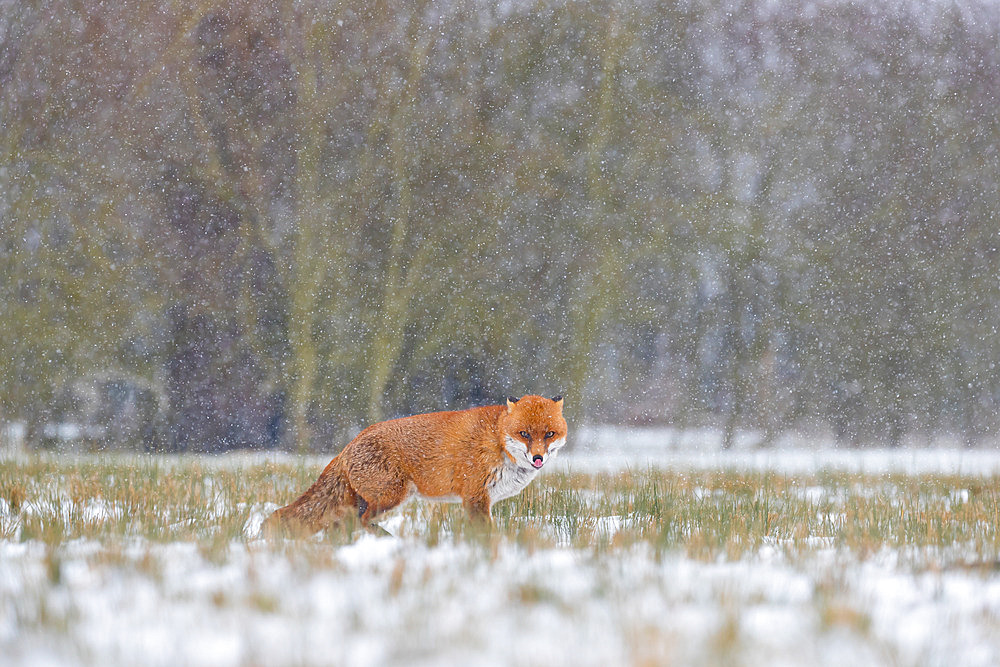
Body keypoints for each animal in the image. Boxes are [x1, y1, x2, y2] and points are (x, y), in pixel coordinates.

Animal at [262, 394, 568, 536]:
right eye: (524, 434)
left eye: (549, 434)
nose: (537, 458)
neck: (498, 442)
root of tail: (348, 445)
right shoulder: (475, 497)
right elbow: (487, 534)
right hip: (391, 496)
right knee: (362, 522)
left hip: (363, 503)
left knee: (342, 527)